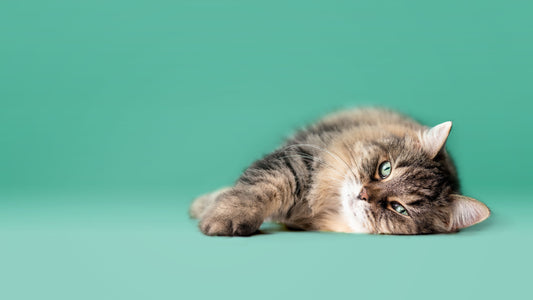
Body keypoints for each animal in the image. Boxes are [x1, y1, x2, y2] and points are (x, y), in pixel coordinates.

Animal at [189, 108, 488, 237]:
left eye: (399, 208)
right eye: (385, 169)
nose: (363, 194)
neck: (329, 204)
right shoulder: (299, 160)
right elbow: (257, 190)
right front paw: (222, 216)